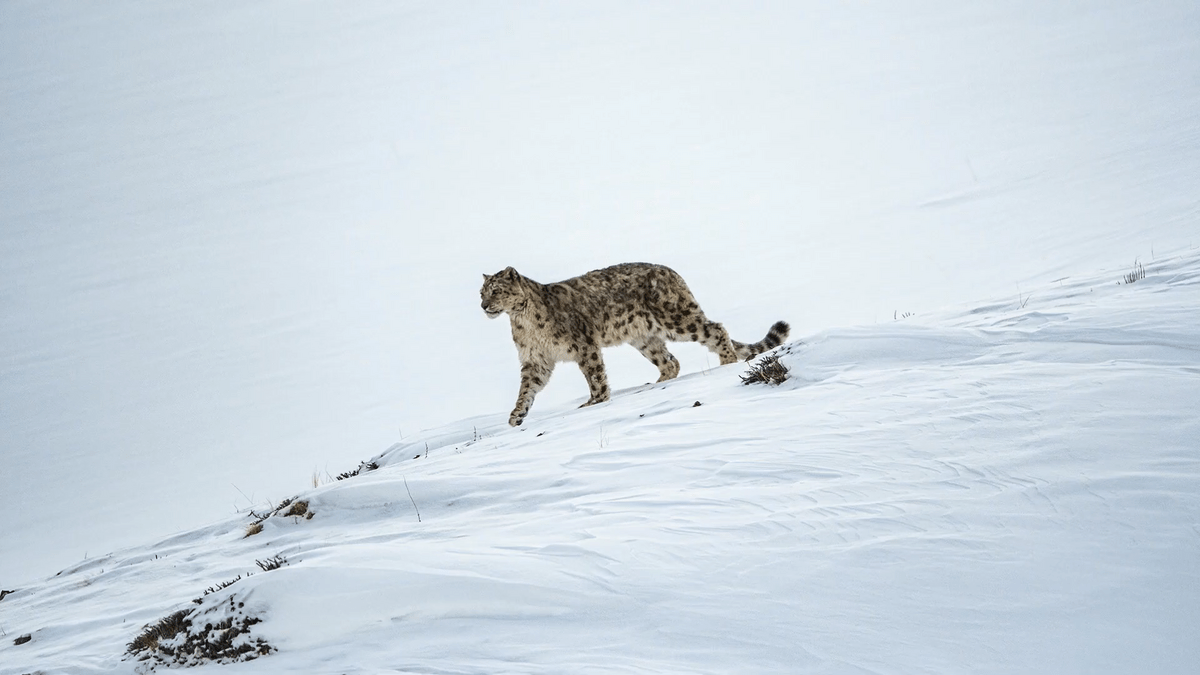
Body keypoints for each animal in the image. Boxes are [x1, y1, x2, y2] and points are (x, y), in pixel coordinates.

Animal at [481, 263, 789, 426]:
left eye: (495, 290)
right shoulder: (536, 360)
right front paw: (517, 415)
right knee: (670, 361)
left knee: (715, 329)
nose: (483, 306)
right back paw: (656, 383)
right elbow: (527, 388)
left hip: (677, 319)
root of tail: (672, 273)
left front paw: (595, 401)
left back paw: (726, 362)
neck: (523, 321)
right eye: (481, 291)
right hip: (644, 338)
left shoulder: (584, 346)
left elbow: (595, 376)